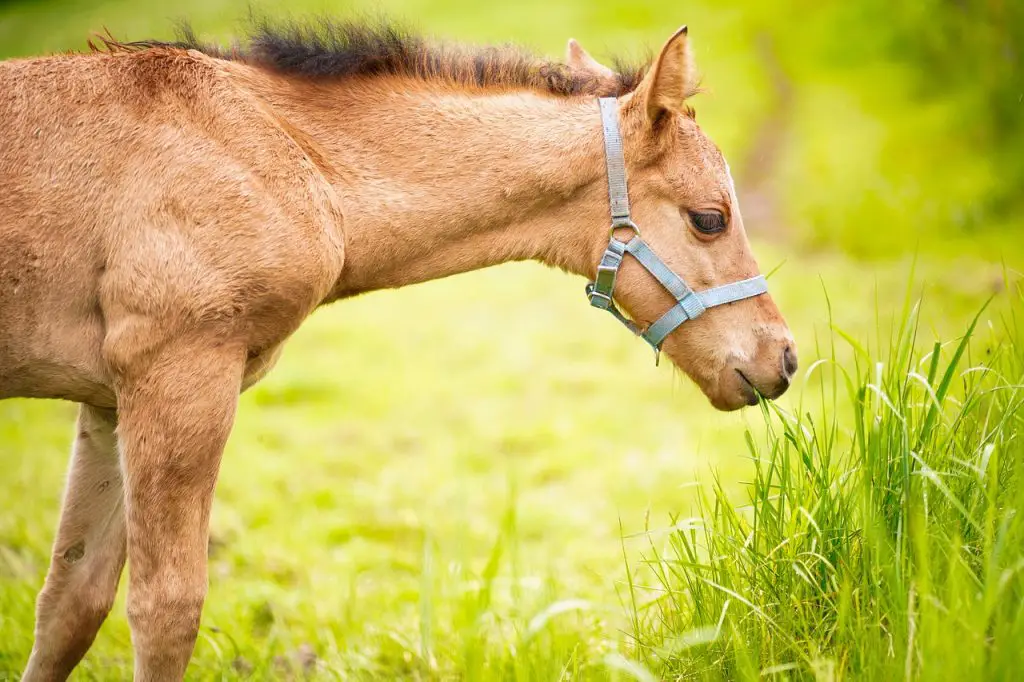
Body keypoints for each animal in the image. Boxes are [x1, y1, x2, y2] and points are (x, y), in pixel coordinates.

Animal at [0, 17, 794, 679]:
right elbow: (165, 610)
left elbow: (71, 603)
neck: (277, 151)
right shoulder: (178, 376)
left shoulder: (108, 401)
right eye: (710, 218)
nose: (781, 359)